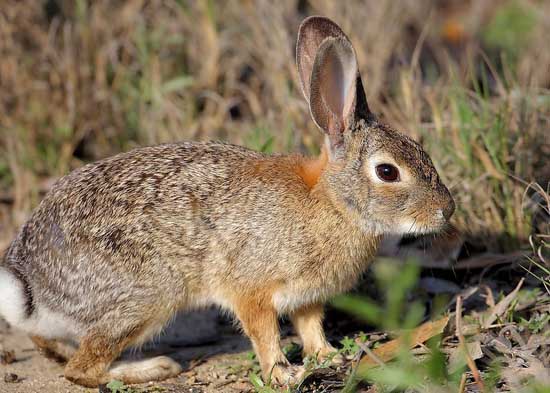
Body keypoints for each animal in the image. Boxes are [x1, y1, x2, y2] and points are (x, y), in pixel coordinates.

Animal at [0, 15, 454, 386]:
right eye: (388, 172)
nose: (445, 211)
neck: (332, 202)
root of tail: (32, 284)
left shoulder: (306, 297)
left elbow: (310, 326)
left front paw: (326, 356)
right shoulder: (250, 288)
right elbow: (263, 333)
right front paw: (283, 374)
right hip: (147, 295)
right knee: (82, 370)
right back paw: (153, 368)